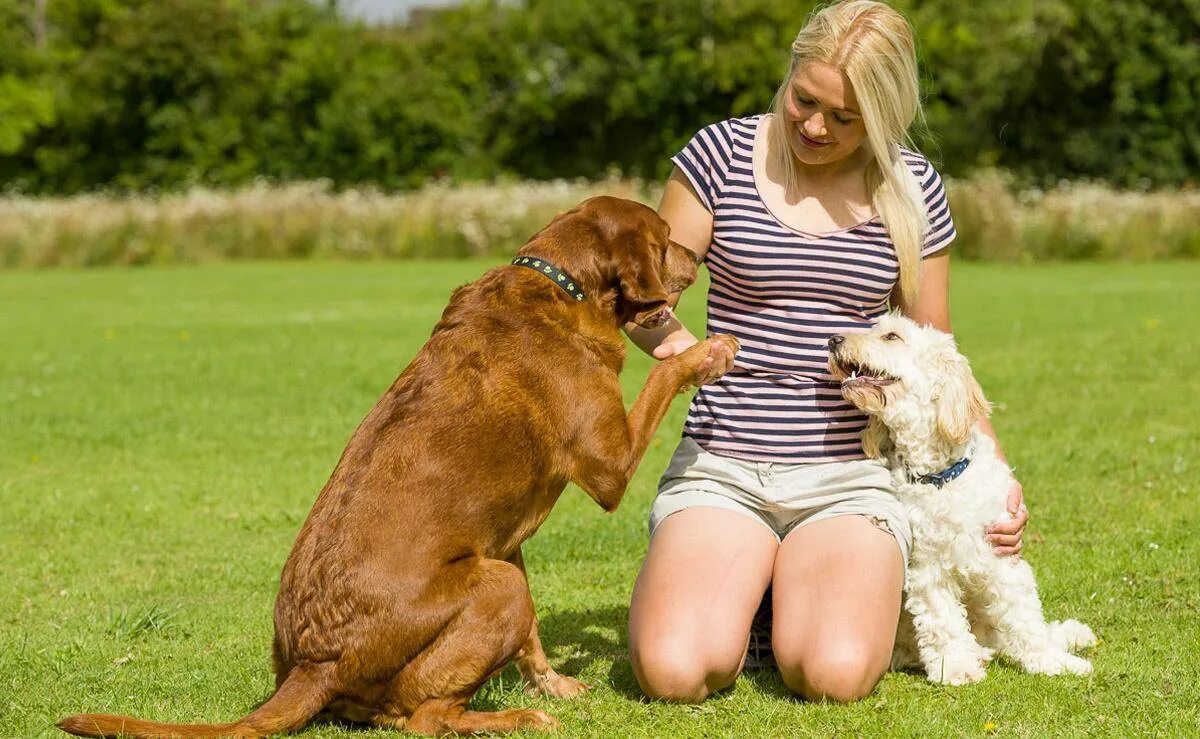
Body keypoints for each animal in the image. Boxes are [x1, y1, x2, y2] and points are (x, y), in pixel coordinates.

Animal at [60, 194, 744, 734]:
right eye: (663, 236)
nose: (697, 257)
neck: (562, 284)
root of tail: (315, 659)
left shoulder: (504, 541)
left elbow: (532, 639)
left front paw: (555, 683)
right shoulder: (609, 462)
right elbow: (662, 376)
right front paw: (709, 351)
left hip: (497, 575)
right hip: (497, 585)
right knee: (427, 718)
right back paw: (514, 717)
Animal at [825, 314, 1099, 686]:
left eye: (892, 336)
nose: (833, 340)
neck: (939, 478)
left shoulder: (1000, 556)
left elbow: (1025, 618)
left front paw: (1053, 662)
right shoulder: (927, 568)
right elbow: (942, 621)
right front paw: (956, 667)